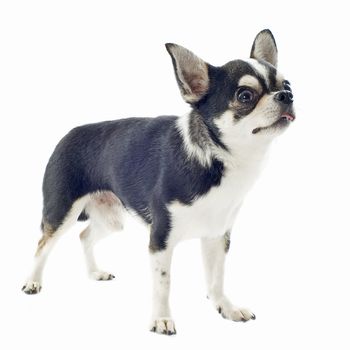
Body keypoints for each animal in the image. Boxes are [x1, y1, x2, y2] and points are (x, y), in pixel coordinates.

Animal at [22, 30, 296, 336]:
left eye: (287, 84)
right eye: (245, 95)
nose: (287, 95)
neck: (219, 159)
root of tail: (67, 134)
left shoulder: (216, 236)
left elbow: (216, 278)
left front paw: (225, 307)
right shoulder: (160, 240)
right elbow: (163, 284)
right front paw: (162, 319)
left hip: (111, 218)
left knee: (84, 236)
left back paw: (94, 272)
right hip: (62, 212)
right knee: (43, 244)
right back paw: (32, 281)